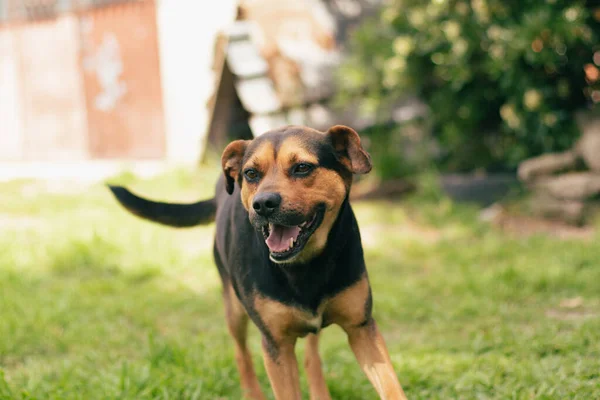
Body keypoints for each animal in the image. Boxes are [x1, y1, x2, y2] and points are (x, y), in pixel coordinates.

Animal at [109, 125, 408, 400]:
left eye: (302, 168)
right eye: (251, 174)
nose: (263, 204)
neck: (306, 264)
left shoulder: (362, 329)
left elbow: (391, 387)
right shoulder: (276, 345)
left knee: (311, 357)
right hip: (234, 309)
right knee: (242, 355)